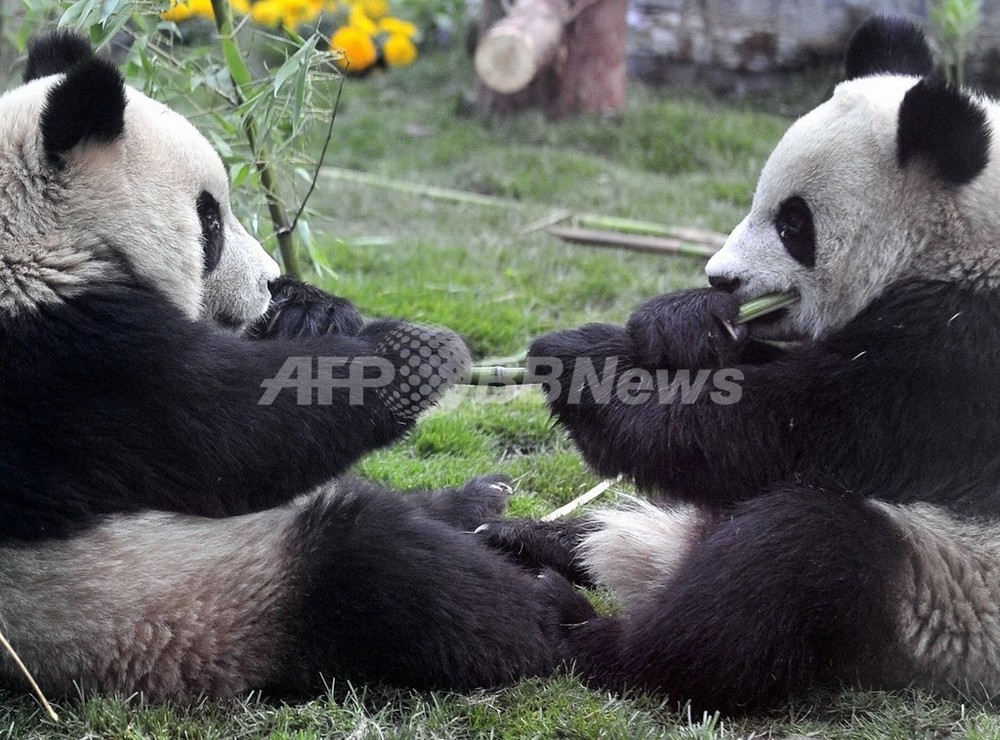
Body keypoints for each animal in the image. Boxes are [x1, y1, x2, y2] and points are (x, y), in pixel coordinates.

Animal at [0, 31, 592, 704]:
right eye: (209, 221)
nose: (266, 283)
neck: (38, 247)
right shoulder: (64, 367)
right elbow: (237, 439)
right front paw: (416, 352)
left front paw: (313, 311)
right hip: (187, 600)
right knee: (387, 571)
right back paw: (558, 614)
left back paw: (483, 508)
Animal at [482, 13, 1000, 716]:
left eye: (793, 224)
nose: (719, 277)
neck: (965, 242)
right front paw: (680, 322)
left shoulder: (961, 358)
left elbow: (768, 434)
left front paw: (578, 362)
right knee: (645, 533)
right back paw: (527, 539)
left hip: (939, 594)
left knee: (787, 562)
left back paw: (579, 626)